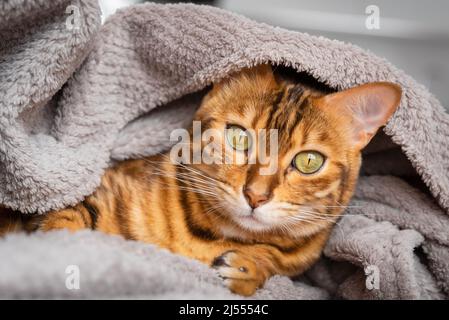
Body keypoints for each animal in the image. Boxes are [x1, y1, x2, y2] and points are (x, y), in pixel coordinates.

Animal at [0, 64, 400, 296]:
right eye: (239, 137)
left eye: (309, 161)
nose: (255, 195)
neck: (208, 237)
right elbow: (69, 215)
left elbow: (274, 259)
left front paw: (249, 266)